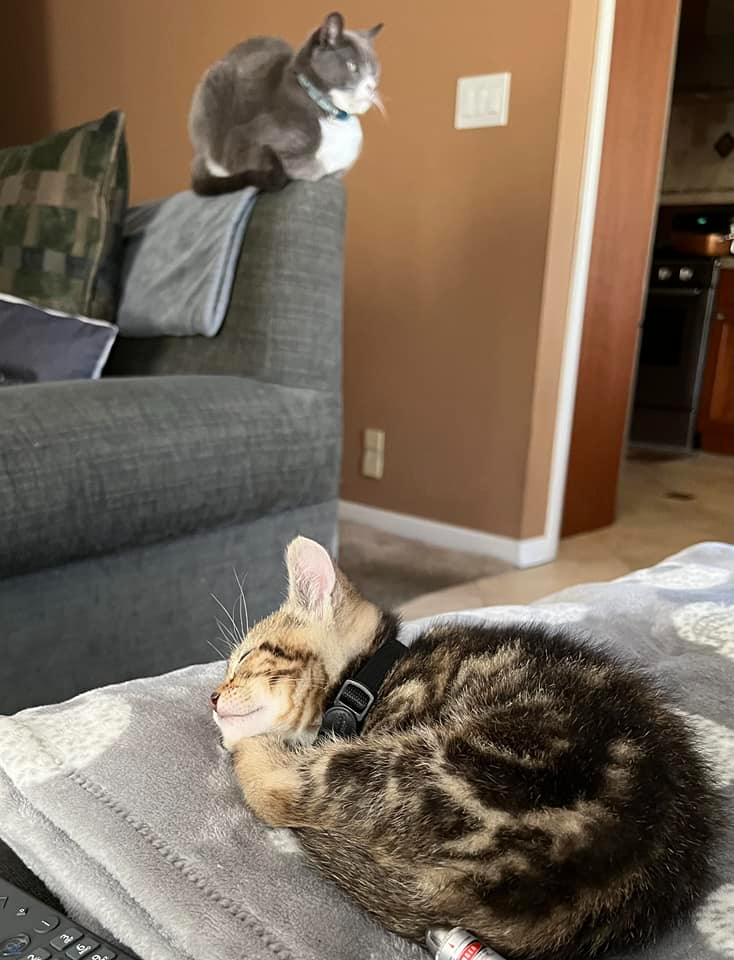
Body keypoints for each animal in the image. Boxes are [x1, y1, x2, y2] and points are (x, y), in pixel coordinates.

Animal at [188, 12, 386, 195]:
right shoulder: (246, 140)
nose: (372, 87)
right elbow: (314, 169)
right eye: (352, 66)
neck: (330, 114)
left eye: (374, 71)